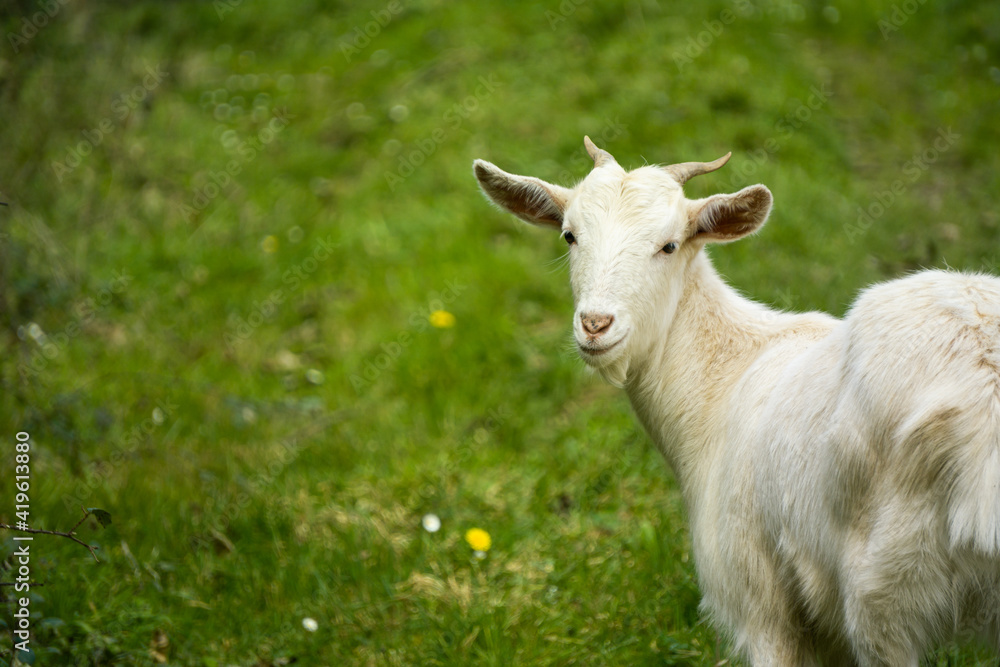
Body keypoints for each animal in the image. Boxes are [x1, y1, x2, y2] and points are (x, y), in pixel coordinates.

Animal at [472, 138, 1000, 664]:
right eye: (569, 236)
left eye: (668, 245)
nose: (596, 325)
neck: (726, 379)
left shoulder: (757, 597)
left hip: (884, 585)